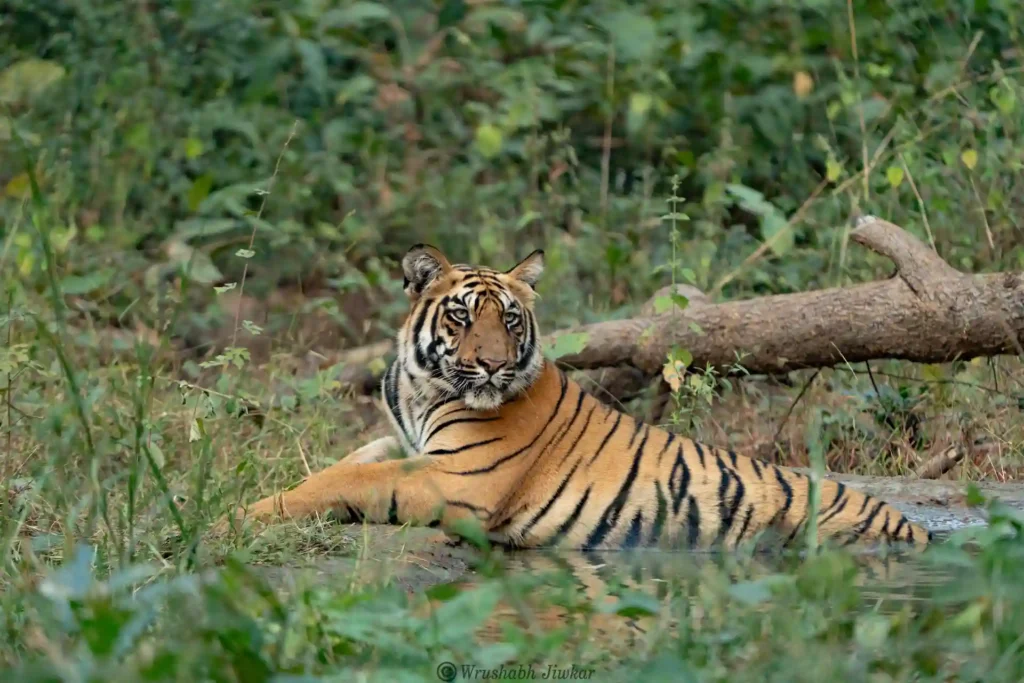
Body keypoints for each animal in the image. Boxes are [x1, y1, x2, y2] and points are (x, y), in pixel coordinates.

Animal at [228, 242, 933, 552]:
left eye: (510, 320)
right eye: (461, 316)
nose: (492, 365)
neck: (420, 384)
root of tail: (915, 530)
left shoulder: (458, 479)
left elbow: (343, 482)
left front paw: (240, 514)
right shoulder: (399, 441)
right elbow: (346, 463)